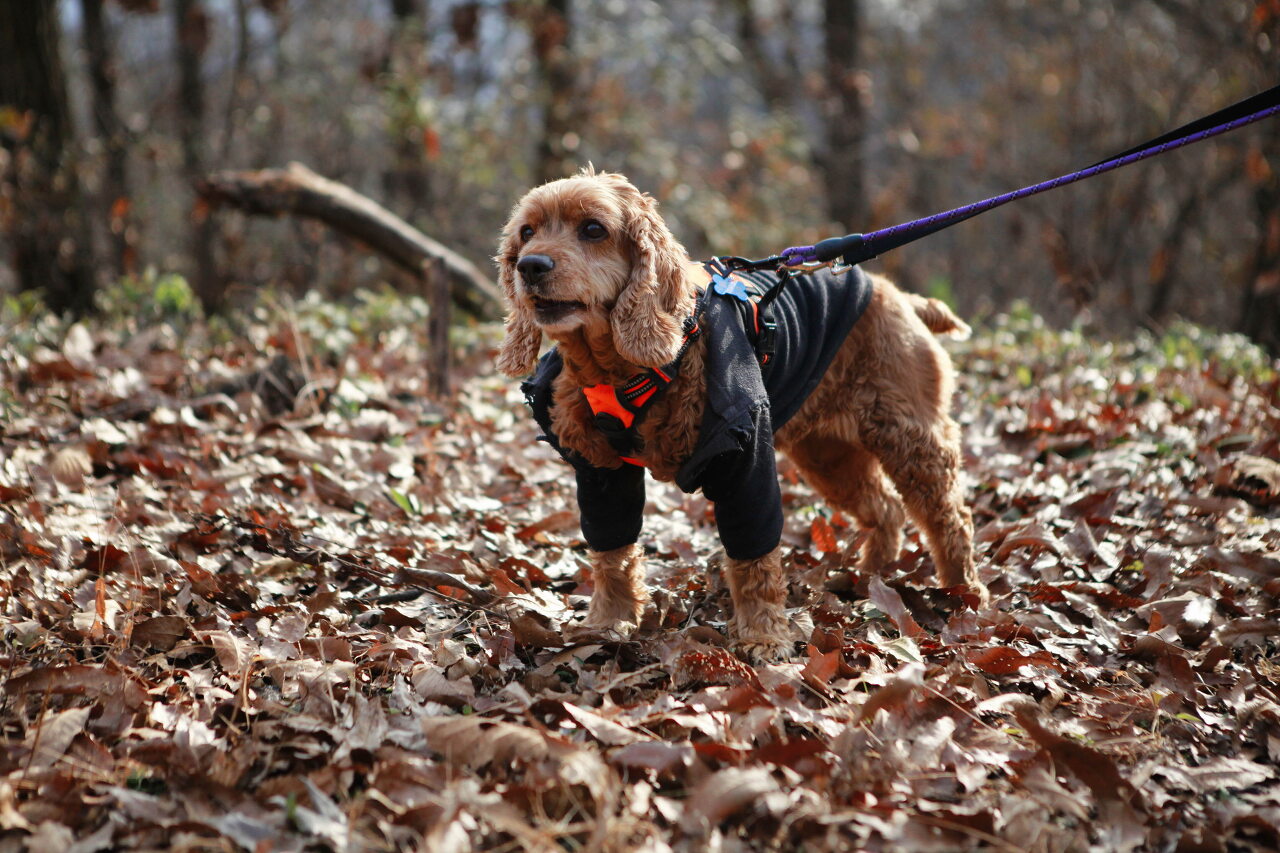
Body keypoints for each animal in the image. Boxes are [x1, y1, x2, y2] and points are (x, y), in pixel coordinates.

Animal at [495, 169, 987, 661]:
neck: (632, 368)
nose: (530, 266)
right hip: (827, 456)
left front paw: (764, 636)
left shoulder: (745, 456)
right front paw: (607, 623)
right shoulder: (601, 472)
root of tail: (901, 297)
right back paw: (869, 575)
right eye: (527, 232)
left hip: (909, 438)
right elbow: (612, 551)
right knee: (886, 508)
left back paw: (964, 593)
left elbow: (754, 556)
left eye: (594, 229)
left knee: (951, 519)